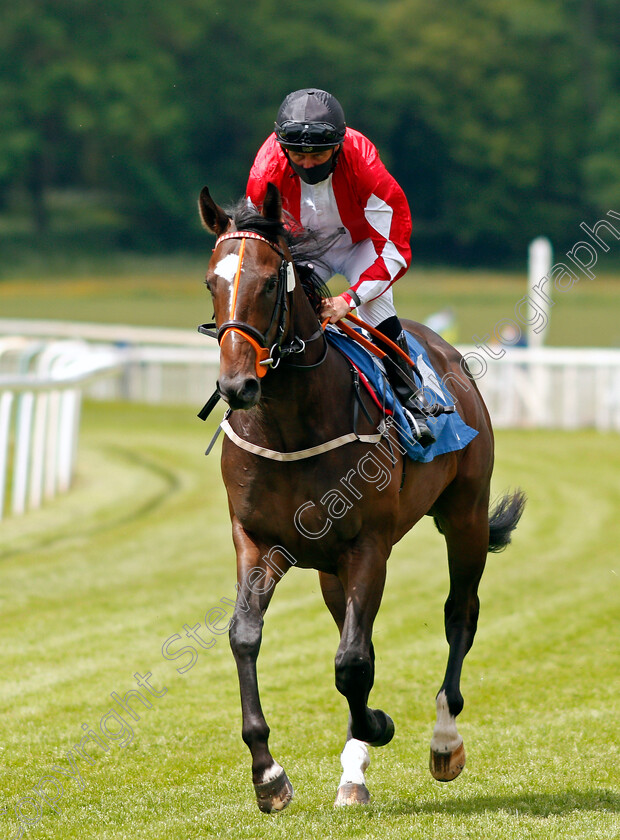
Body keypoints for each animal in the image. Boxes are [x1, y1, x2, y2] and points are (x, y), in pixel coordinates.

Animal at [197, 184, 524, 812]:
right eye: (211, 283)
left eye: (270, 283)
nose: (237, 386)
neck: (291, 424)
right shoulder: (257, 540)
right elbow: (246, 637)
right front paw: (268, 774)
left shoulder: (368, 545)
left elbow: (352, 664)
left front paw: (378, 725)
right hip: (331, 567)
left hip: (466, 517)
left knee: (459, 614)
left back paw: (443, 740)